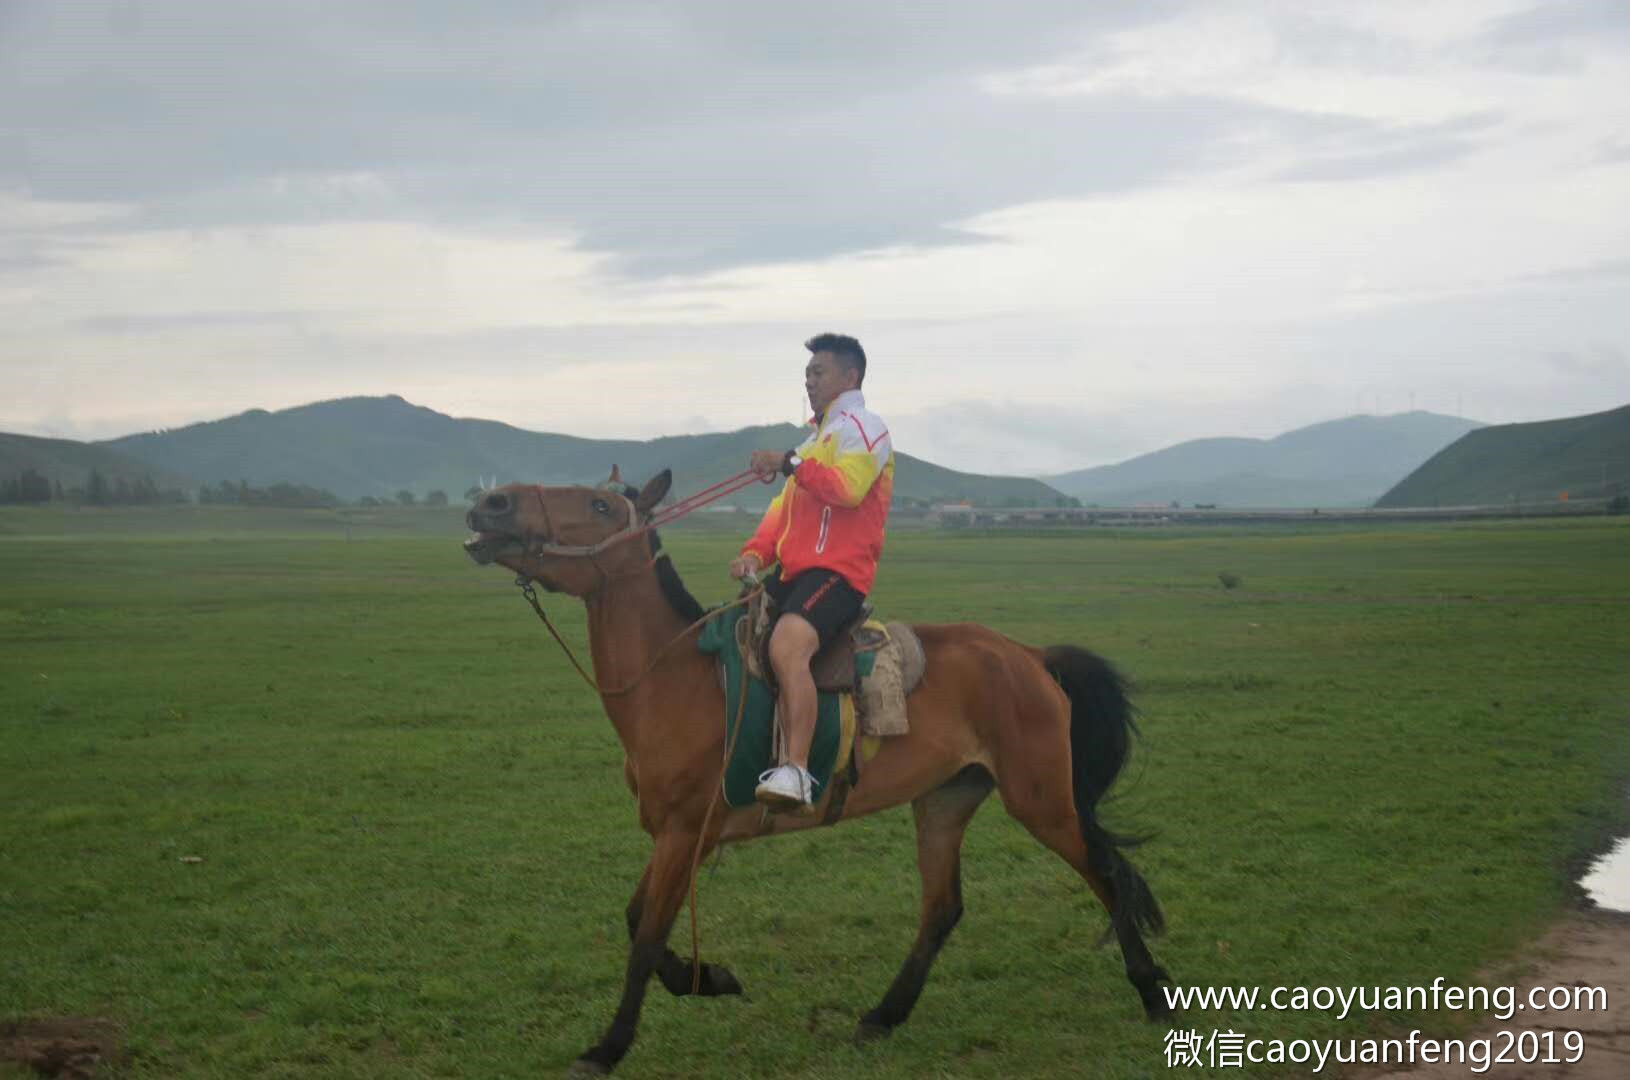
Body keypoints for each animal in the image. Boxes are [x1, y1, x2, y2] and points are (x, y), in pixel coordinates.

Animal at [466, 472, 1167, 1075]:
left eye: (603, 506)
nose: (491, 503)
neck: (675, 680)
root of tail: (1029, 654)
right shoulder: (674, 836)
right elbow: (640, 921)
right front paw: (710, 978)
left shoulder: (686, 833)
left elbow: (644, 939)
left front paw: (608, 1047)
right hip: (945, 799)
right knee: (943, 907)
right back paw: (883, 1015)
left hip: (1041, 800)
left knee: (1107, 875)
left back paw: (1152, 990)